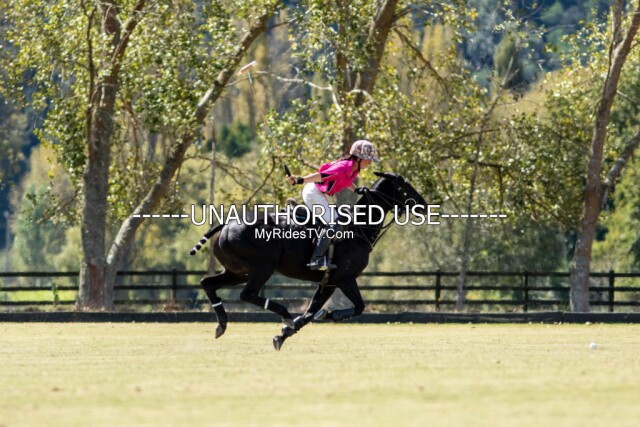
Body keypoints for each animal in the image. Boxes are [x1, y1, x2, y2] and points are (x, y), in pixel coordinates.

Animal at [189, 172, 428, 348]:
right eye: (405, 188)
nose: (424, 205)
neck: (358, 227)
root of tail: (227, 224)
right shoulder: (345, 278)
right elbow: (358, 307)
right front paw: (326, 315)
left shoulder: (329, 282)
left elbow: (311, 310)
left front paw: (283, 335)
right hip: (262, 267)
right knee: (246, 293)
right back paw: (284, 313)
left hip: (238, 271)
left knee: (207, 283)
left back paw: (222, 325)